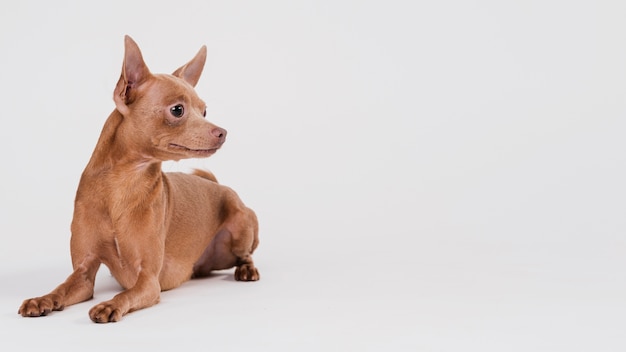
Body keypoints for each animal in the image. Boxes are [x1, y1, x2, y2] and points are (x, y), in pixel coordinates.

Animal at [18, 35, 258, 322]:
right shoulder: (84, 274)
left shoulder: (148, 281)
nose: (222, 132)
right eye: (178, 110)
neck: (122, 184)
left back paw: (246, 270)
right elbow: (61, 289)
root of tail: (218, 184)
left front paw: (110, 304)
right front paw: (42, 299)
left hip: (241, 224)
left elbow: (125, 295)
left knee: (246, 255)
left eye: (204, 111)